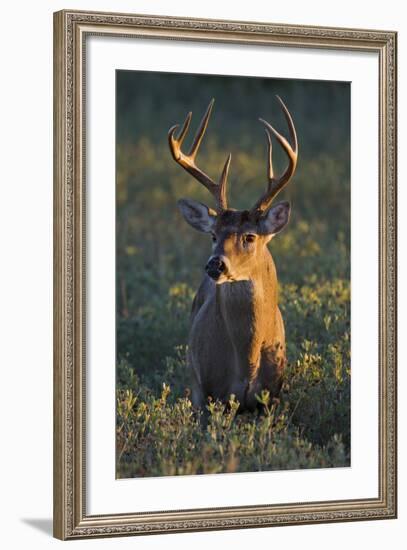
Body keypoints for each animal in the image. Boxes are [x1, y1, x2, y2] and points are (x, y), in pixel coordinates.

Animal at [169, 97, 300, 412]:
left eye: (249, 236)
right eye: (213, 235)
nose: (215, 265)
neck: (245, 363)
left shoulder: (272, 396)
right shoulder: (207, 391)